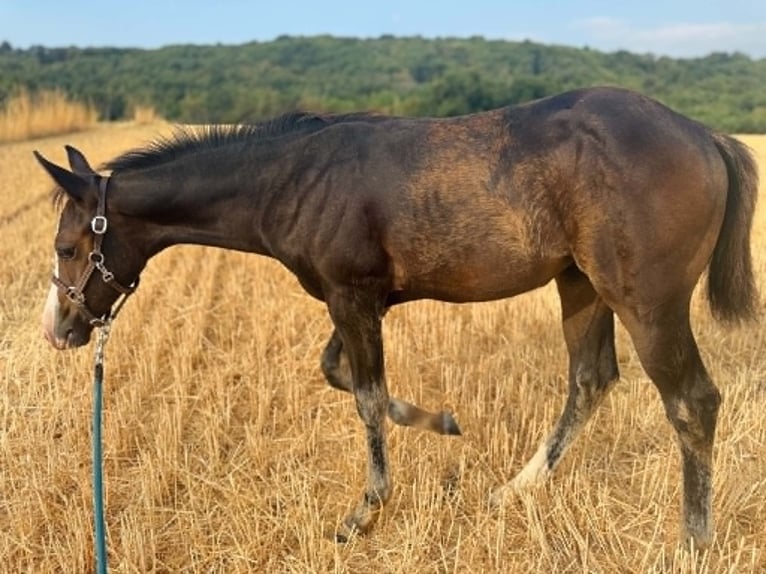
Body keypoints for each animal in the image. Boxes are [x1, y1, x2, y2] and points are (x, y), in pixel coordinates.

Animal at [36, 87, 758, 548]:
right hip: (579, 283)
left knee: (691, 401)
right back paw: (514, 492)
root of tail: (706, 136)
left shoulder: (352, 296)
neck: (292, 178)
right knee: (590, 379)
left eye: (68, 247)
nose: (59, 330)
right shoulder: (353, 297)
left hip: (646, 299)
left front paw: (364, 513)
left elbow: (365, 396)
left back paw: (693, 542)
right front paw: (441, 422)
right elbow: (345, 377)